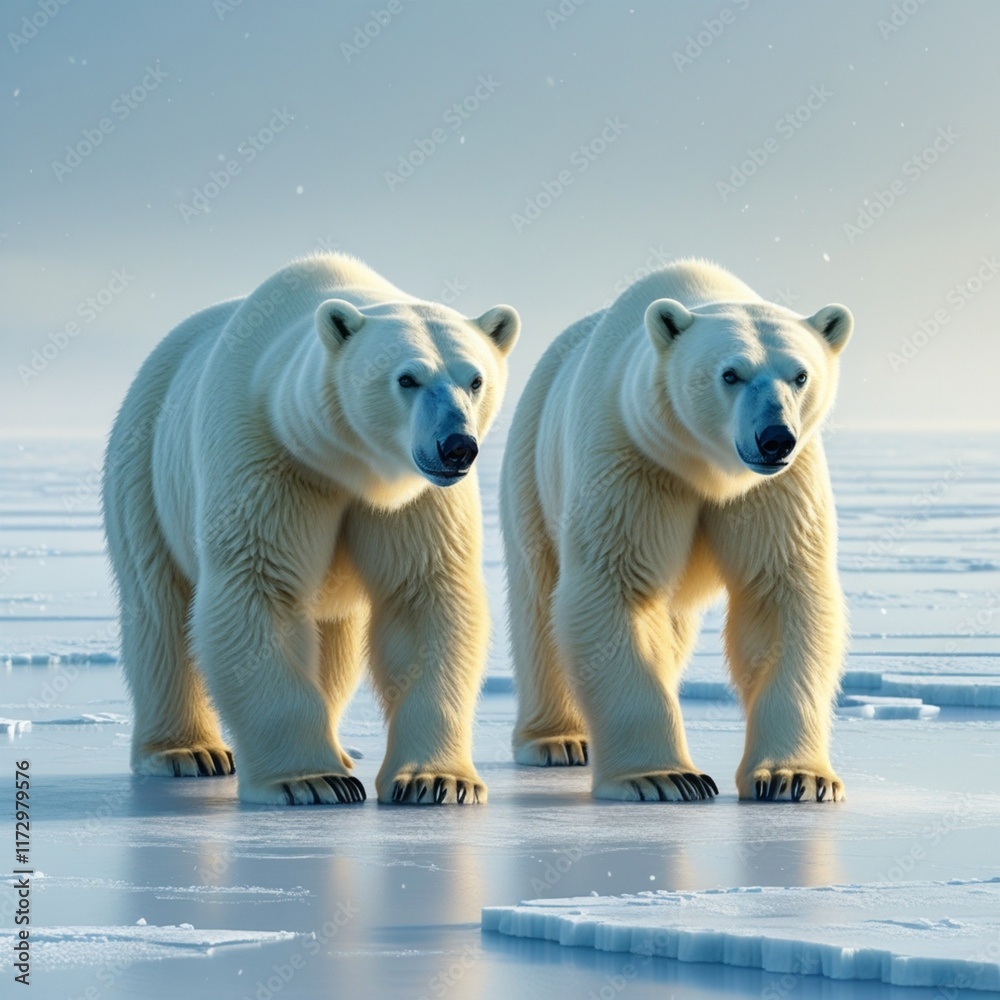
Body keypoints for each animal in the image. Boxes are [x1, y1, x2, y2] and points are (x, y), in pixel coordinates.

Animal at [102, 253, 519, 806]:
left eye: (475, 380)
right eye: (407, 378)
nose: (456, 447)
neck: (348, 466)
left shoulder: (418, 499)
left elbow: (422, 596)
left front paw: (436, 781)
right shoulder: (271, 457)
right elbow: (261, 590)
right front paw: (311, 780)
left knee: (334, 639)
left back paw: (339, 749)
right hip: (145, 470)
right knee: (159, 609)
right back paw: (188, 752)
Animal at [499, 259, 852, 803]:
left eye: (800, 375)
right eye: (730, 373)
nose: (775, 438)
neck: (705, 467)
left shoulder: (776, 489)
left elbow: (780, 593)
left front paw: (796, 777)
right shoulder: (634, 460)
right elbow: (615, 587)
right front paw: (663, 777)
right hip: (532, 466)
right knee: (537, 596)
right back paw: (558, 740)